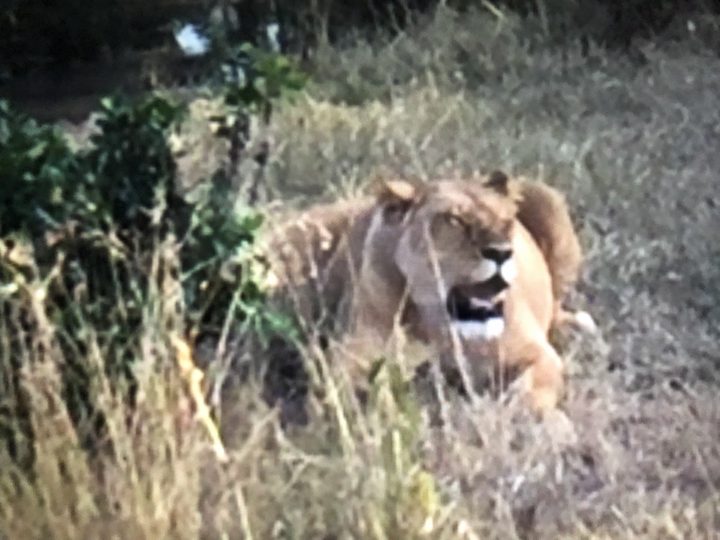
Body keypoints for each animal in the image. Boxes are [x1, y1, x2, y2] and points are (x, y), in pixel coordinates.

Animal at [263, 170, 595, 415]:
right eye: (454, 220)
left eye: (507, 222)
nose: (502, 252)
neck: (441, 322)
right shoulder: (350, 356)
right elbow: (337, 394)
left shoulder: (537, 353)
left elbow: (529, 391)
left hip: (546, 196)